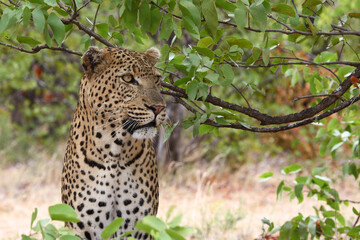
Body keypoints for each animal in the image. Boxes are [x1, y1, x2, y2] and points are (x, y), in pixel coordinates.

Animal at [62, 46, 167, 239]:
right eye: (128, 78)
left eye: (157, 79)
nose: (159, 108)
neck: (115, 150)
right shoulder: (81, 228)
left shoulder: (139, 227)